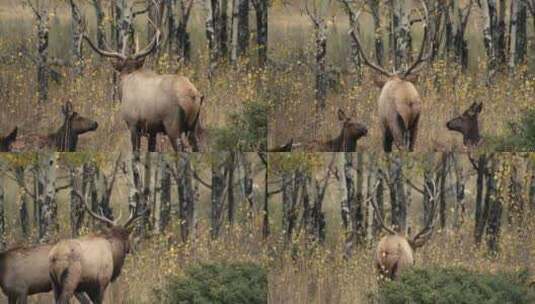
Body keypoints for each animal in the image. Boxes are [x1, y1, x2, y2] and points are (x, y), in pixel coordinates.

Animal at [84, 14, 205, 152]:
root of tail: (194, 95)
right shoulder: (152, 129)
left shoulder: (132, 124)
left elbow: (135, 150)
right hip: (193, 126)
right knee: (196, 147)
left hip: (172, 125)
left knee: (182, 149)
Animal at [350, 0, 434, 152]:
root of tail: (409, 101)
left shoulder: (384, 126)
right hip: (416, 124)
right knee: (411, 147)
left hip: (396, 122)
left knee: (401, 147)